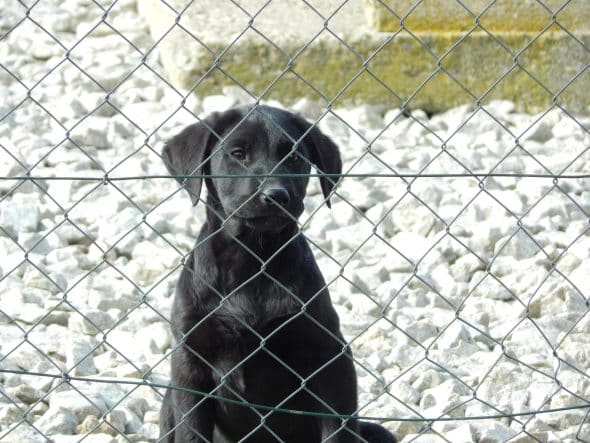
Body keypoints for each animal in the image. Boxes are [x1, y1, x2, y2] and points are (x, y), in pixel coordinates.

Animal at [160, 105, 396, 443]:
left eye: (295, 156)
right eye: (238, 154)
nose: (275, 195)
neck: (252, 259)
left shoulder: (330, 356)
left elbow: (337, 429)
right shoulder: (189, 362)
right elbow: (191, 432)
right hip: (169, 397)